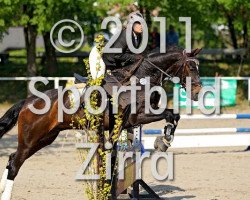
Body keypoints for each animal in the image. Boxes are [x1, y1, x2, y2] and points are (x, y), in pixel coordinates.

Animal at [0, 46, 201, 198]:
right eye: (191, 67)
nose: (198, 92)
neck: (141, 80)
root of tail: (28, 101)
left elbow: (174, 115)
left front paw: (164, 140)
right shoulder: (137, 117)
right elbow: (170, 115)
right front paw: (164, 141)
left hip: (45, 138)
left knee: (11, 159)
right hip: (31, 138)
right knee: (15, 163)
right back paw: (6, 195)